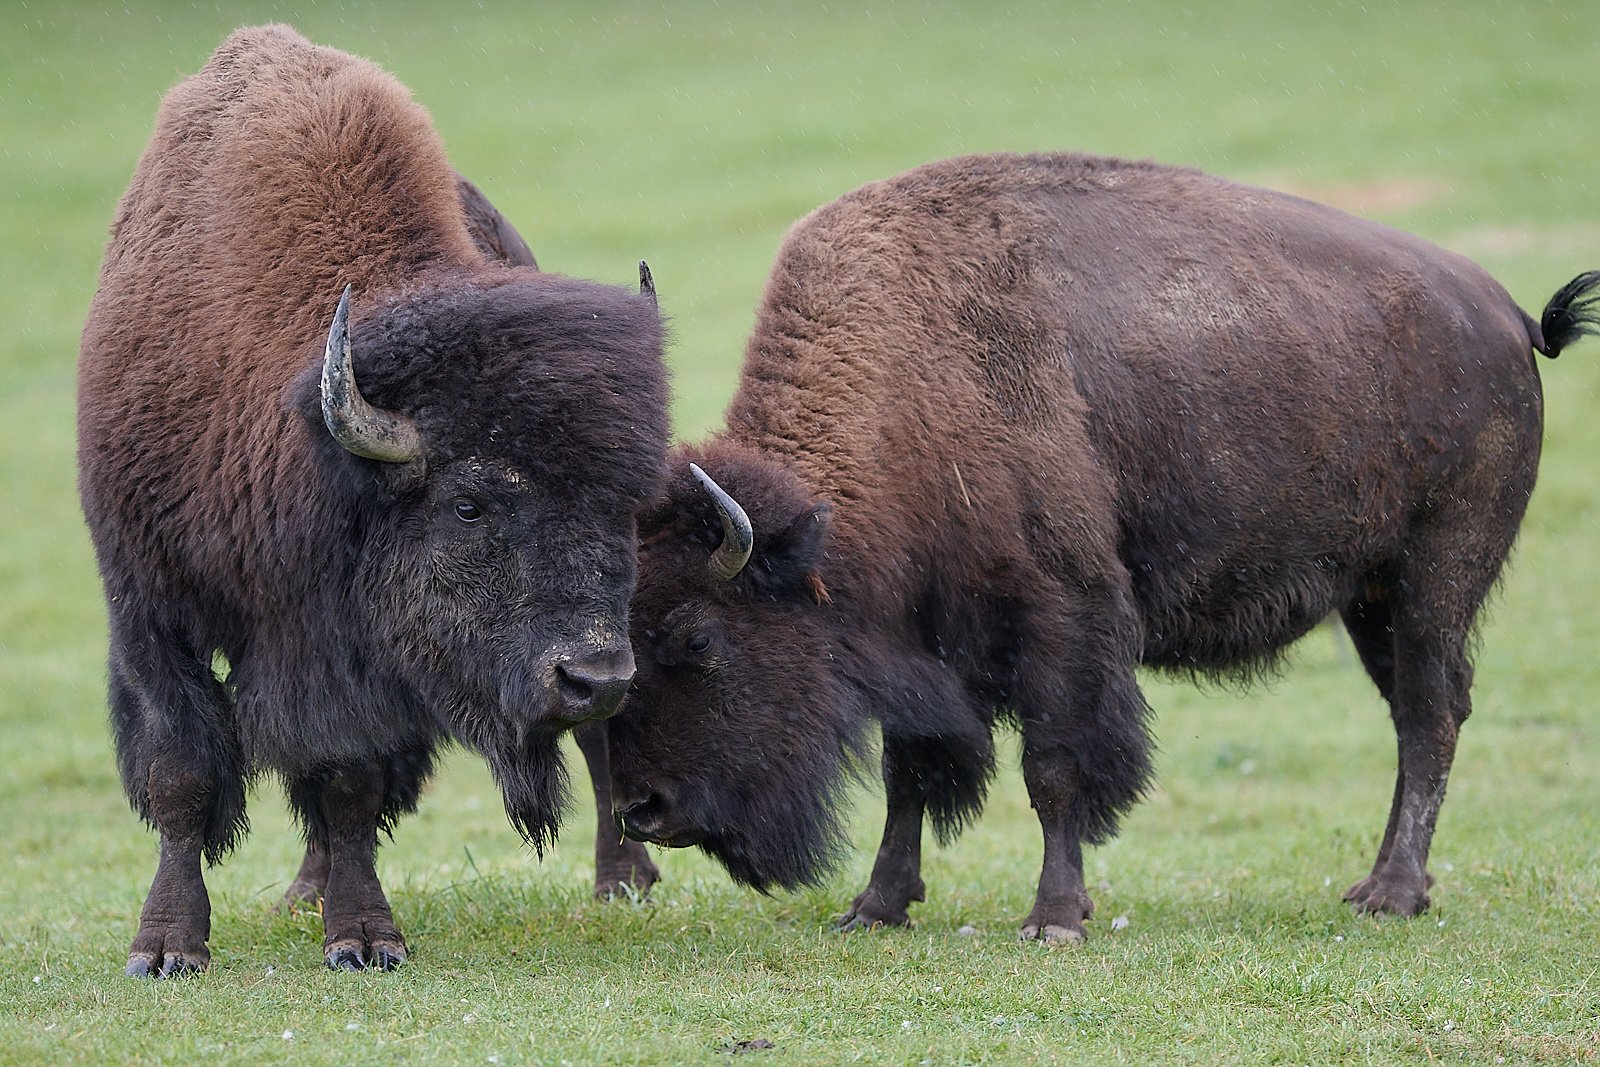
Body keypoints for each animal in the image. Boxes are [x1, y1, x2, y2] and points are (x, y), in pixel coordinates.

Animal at [79, 24, 668, 979]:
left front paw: (362, 938)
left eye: (628, 505)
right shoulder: (149, 613)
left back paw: (624, 880)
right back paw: (301, 891)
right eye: (469, 506)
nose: (597, 674)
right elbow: (182, 775)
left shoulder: (356, 660)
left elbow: (349, 781)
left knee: (589, 744)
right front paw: (165, 948)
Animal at [601, 151, 1600, 940]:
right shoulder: (921, 649)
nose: (644, 807)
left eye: (699, 637)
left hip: (1435, 576)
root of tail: (1508, 315)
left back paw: (1388, 893)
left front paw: (1054, 919)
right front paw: (875, 907)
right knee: (1416, 712)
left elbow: (1055, 771)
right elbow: (909, 774)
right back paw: (1394, 886)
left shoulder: (1061, 621)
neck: (909, 388)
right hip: (1372, 599)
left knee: (1429, 715)